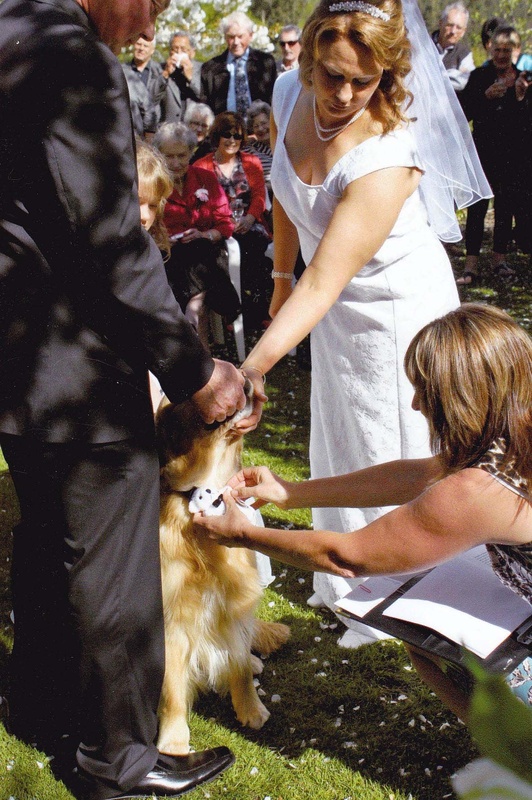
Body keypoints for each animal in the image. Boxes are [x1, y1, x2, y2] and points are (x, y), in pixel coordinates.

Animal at [154, 386, 290, 756]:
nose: (246, 382)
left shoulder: (235, 601)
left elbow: (239, 664)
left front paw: (251, 709)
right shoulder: (171, 618)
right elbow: (173, 689)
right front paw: (173, 739)